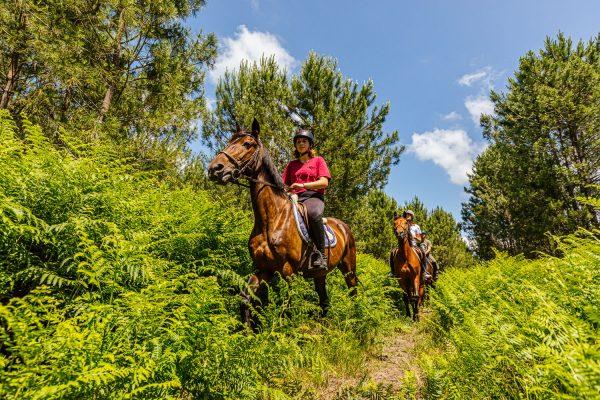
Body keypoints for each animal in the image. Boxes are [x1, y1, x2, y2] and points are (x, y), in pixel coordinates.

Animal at [207, 119, 356, 328]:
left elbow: (286, 309)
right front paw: (247, 332)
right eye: (229, 142)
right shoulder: (264, 269)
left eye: (247, 144)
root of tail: (344, 227)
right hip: (320, 274)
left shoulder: (288, 271)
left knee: (353, 292)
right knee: (323, 298)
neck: (272, 219)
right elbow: (245, 297)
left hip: (348, 268)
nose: (215, 169)